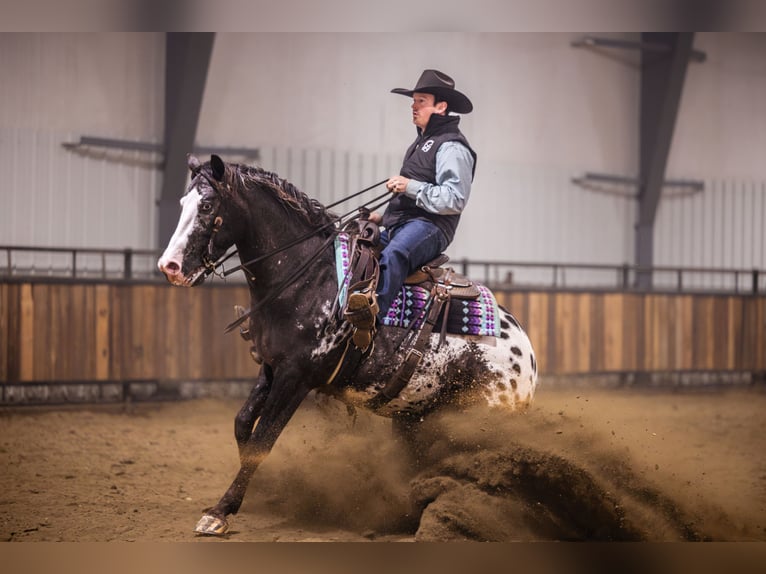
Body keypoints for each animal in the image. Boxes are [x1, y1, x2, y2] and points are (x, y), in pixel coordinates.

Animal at [157, 154, 538, 536]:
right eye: (183, 202)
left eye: (207, 206)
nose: (169, 267)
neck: (309, 279)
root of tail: (528, 357)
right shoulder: (271, 367)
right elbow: (243, 424)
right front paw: (252, 495)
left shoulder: (296, 378)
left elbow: (263, 439)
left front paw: (220, 511)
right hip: (417, 416)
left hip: (480, 417)